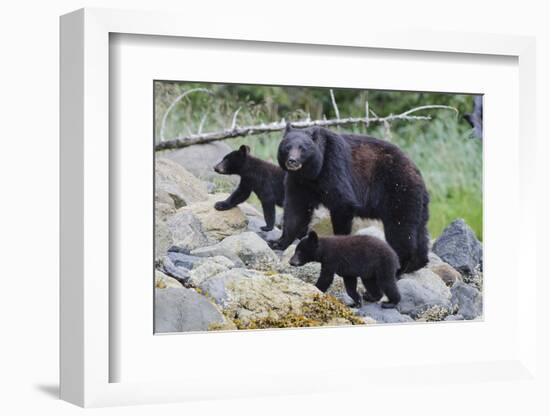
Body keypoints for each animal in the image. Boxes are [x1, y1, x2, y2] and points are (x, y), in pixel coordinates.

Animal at [272, 123, 432, 274]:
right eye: (287, 147)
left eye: (303, 148)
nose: (292, 161)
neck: (312, 173)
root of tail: (419, 175)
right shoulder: (298, 182)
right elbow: (296, 210)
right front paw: (278, 242)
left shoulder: (334, 167)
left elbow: (342, 203)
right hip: (417, 204)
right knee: (420, 231)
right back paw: (416, 264)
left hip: (399, 192)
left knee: (401, 229)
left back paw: (399, 267)